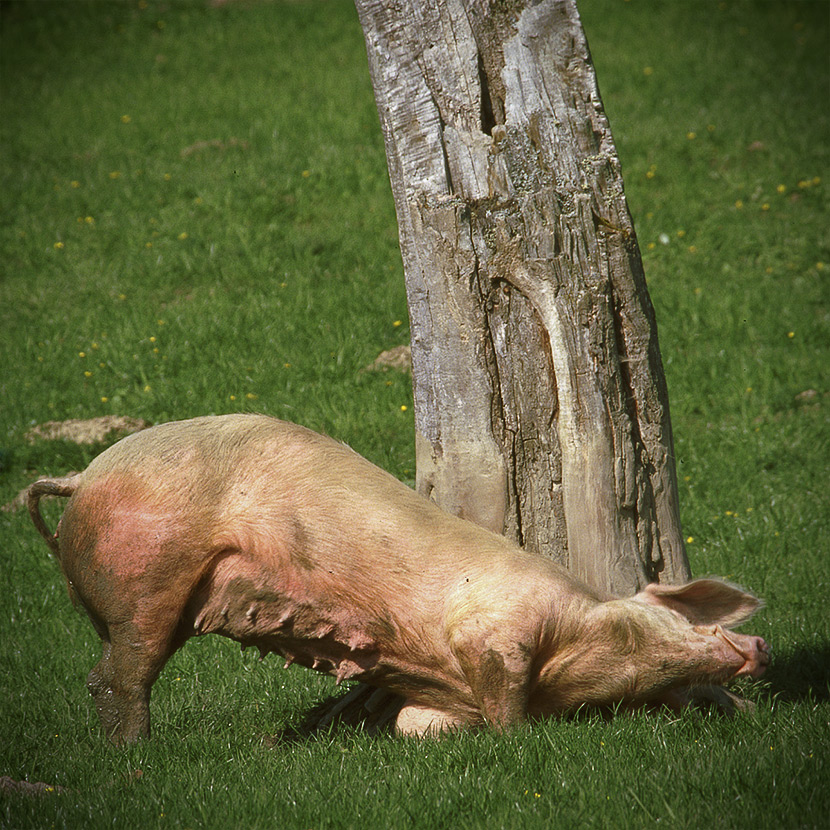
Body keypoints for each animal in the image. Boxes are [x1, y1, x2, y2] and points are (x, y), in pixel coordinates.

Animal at [27, 412, 772, 744]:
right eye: (671, 614)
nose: (761, 647)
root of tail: (81, 476)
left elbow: (418, 724)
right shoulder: (494, 624)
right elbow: (503, 687)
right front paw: (517, 739)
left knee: (106, 669)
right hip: (147, 576)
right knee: (120, 674)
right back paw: (139, 752)